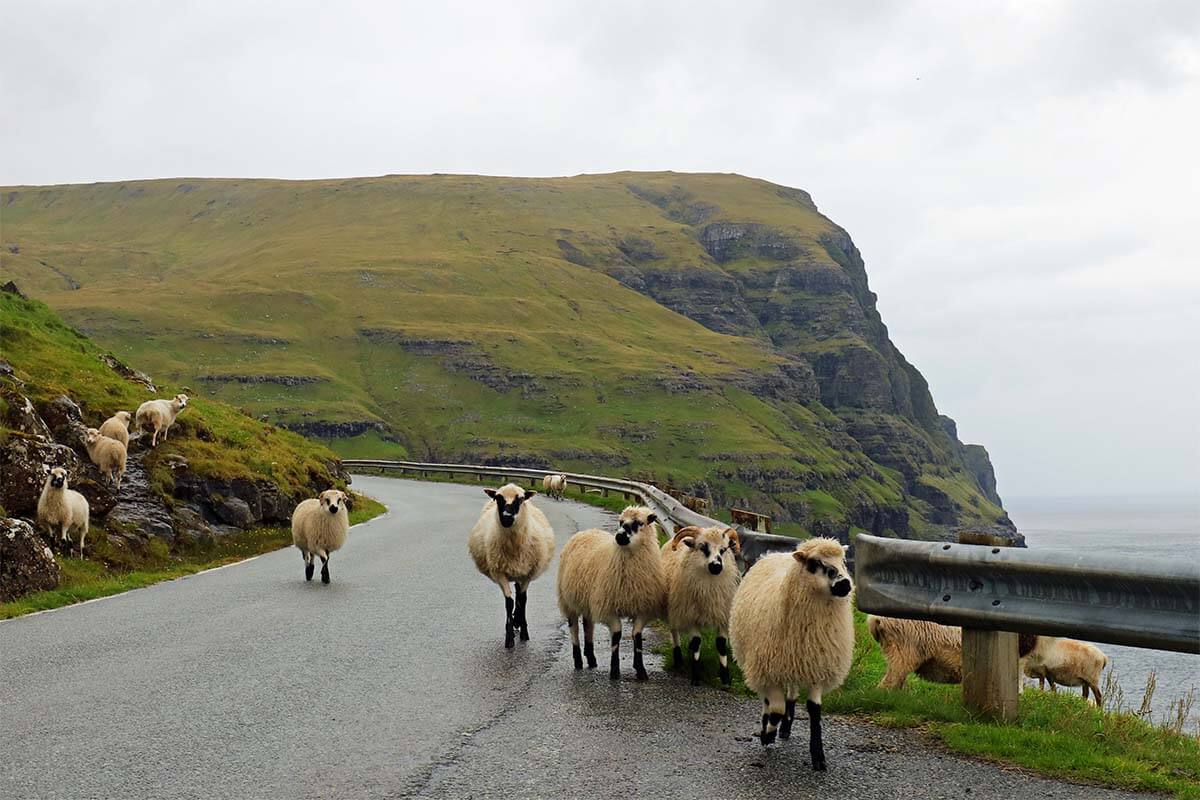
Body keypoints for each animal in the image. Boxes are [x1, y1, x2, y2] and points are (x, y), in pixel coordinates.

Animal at [468, 483, 556, 649]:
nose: (507, 518)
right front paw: (509, 638)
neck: (513, 547)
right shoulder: (499, 572)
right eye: (498, 498)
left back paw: (518, 621)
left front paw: (523, 631)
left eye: (520, 499)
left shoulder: (527, 573)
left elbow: (522, 599)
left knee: (520, 594)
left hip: (521, 571)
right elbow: (509, 602)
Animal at [556, 506, 666, 680]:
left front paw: (641, 670)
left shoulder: (642, 608)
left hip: (588, 599)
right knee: (574, 628)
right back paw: (578, 660)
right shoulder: (608, 608)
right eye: (620, 522)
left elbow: (637, 636)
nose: (619, 536)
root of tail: (587, 531)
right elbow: (616, 636)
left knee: (588, 624)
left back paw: (591, 658)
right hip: (567, 599)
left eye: (639, 523)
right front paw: (614, 671)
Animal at [661, 525, 741, 685]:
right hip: (673, 608)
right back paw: (678, 660)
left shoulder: (722, 615)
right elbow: (697, 643)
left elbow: (721, 645)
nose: (716, 566)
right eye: (703, 547)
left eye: (724, 549)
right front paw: (696, 676)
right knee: (674, 632)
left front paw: (725, 678)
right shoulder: (691, 616)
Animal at [729, 537, 853, 769]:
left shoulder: (816, 666)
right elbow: (776, 710)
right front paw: (767, 734)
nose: (844, 584)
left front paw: (818, 756)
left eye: (843, 560)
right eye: (814, 563)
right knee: (769, 702)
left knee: (792, 693)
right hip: (766, 666)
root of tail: (775, 553)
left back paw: (786, 726)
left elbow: (814, 710)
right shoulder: (767, 671)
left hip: (794, 662)